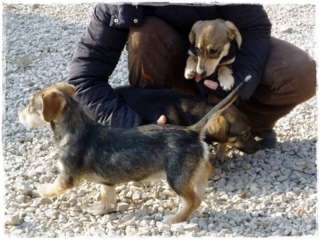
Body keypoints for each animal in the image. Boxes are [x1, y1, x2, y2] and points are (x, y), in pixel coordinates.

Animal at [17, 82, 241, 223]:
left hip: (175, 177)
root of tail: (192, 130)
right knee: (205, 173)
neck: (75, 127)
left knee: (193, 200)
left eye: (31, 106)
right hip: (188, 171)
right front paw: (101, 209)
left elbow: (51, 188)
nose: (18, 115)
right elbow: (106, 197)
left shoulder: (66, 178)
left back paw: (175, 219)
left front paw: (38, 190)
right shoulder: (107, 182)